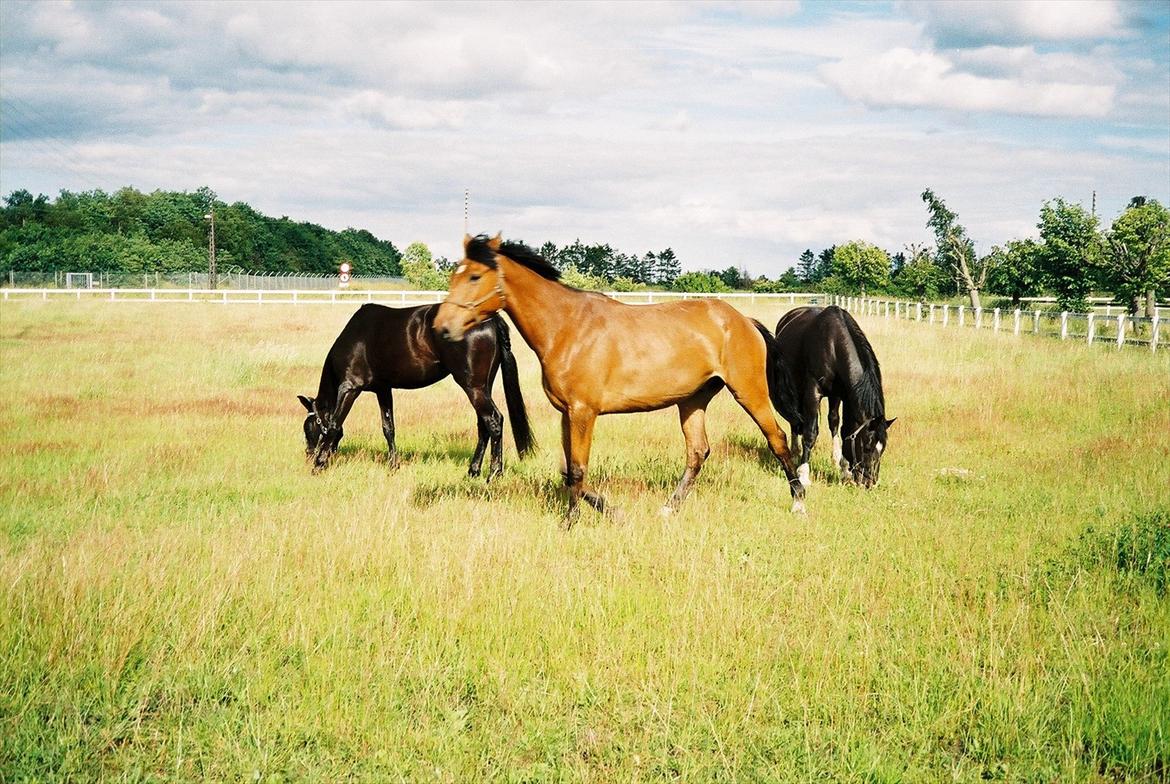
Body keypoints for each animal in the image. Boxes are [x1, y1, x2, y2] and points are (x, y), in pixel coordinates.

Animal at [297, 304, 535, 479]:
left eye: (309, 428)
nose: (308, 456)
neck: (356, 337)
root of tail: (491, 318)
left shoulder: (350, 388)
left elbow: (334, 425)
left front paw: (319, 465)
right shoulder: (383, 389)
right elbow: (388, 428)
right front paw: (393, 465)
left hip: (472, 386)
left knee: (493, 421)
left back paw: (494, 474)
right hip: (482, 386)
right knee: (483, 425)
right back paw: (473, 471)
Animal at [430, 234, 804, 528]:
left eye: (475, 276)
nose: (441, 328)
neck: (566, 327)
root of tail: (743, 320)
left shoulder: (584, 412)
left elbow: (577, 469)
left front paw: (571, 521)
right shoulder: (567, 413)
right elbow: (567, 470)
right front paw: (612, 511)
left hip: (749, 391)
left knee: (778, 438)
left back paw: (798, 501)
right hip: (693, 399)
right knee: (698, 452)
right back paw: (668, 509)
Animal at [772, 306, 889, 484]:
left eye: (883, 448)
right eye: (867, 447)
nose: (870, 483)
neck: (833, 345)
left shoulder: (841, 395)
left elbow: (839, 426)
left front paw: (843, 469)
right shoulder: (813, 391)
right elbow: (810, 432)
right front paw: (803, 474)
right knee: (795, 420)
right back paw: (795, 453)